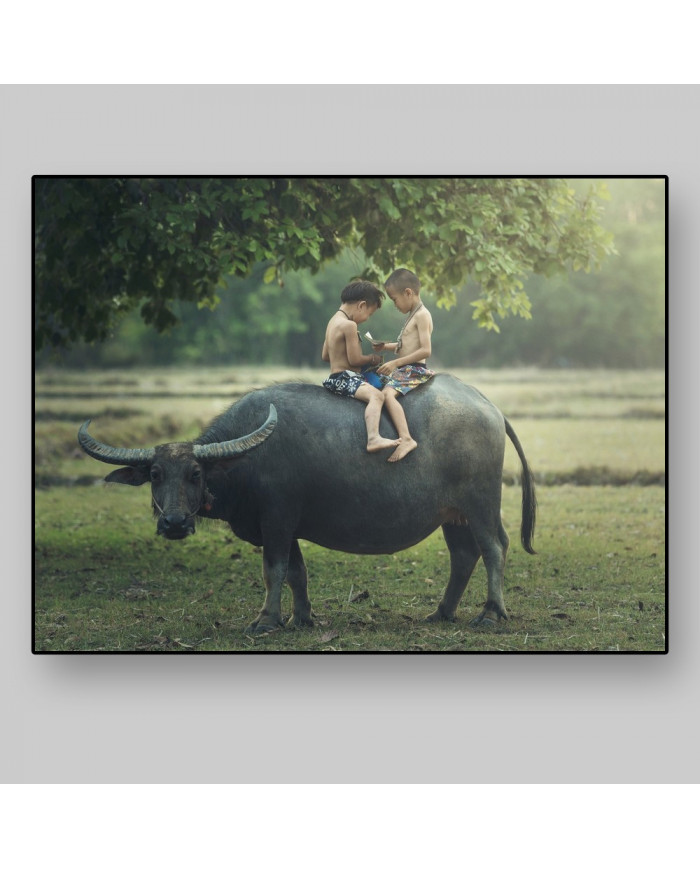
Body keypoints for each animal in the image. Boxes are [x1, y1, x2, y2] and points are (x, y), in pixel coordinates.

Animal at [78, 374, 536, 635]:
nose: (173, 522)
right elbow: (297, 574)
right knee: (463, 555)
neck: (245, 461)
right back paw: (441, 613)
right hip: (451, 514)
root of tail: (489, 407)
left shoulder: (277, 521)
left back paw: (491, 614)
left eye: (195, 474)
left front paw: (265, 622)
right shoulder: (287, 527)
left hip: (480, 502)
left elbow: (274, 571)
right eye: (155, 474)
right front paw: (301, 619)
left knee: (494, 547)